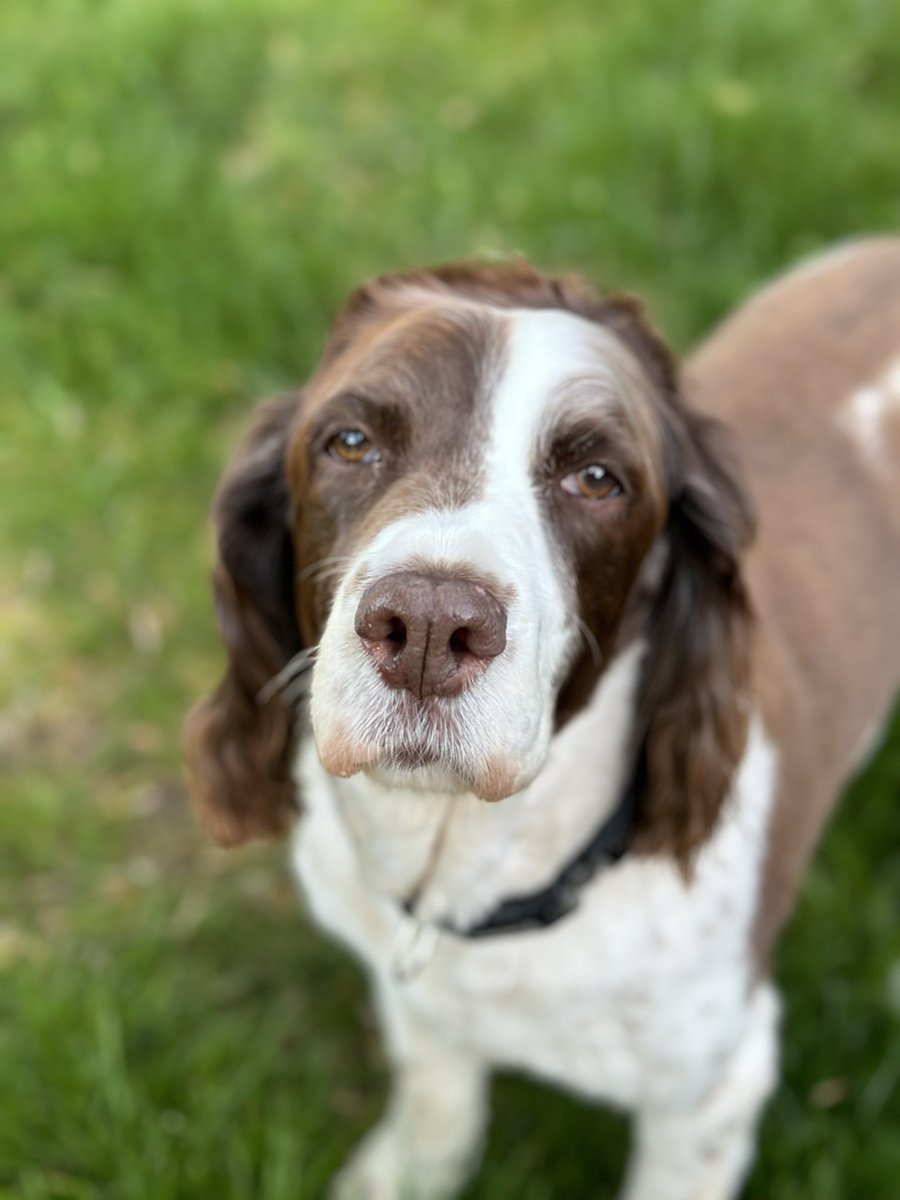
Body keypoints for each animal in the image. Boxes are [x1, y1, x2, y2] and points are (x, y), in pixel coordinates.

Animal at [184, 241, 900, 1200]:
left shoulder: (711, 1090)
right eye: (350, 441)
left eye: (597, 478)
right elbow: (438, 1098)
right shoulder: (410, 992)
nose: (429, 626)